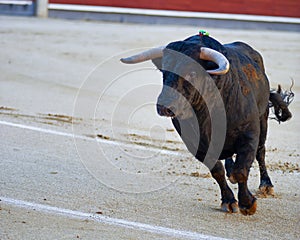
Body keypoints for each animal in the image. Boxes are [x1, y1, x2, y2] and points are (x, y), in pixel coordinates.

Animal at [120, 33, 292, 216]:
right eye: (164, 71)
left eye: (192, 72)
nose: (164, 106)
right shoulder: (196, 144)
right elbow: (217, 170)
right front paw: (229, 201)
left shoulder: (249, 133)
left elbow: (242, 170)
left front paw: (247, 203)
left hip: (263, 118)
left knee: (261, 152)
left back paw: (266, 185)